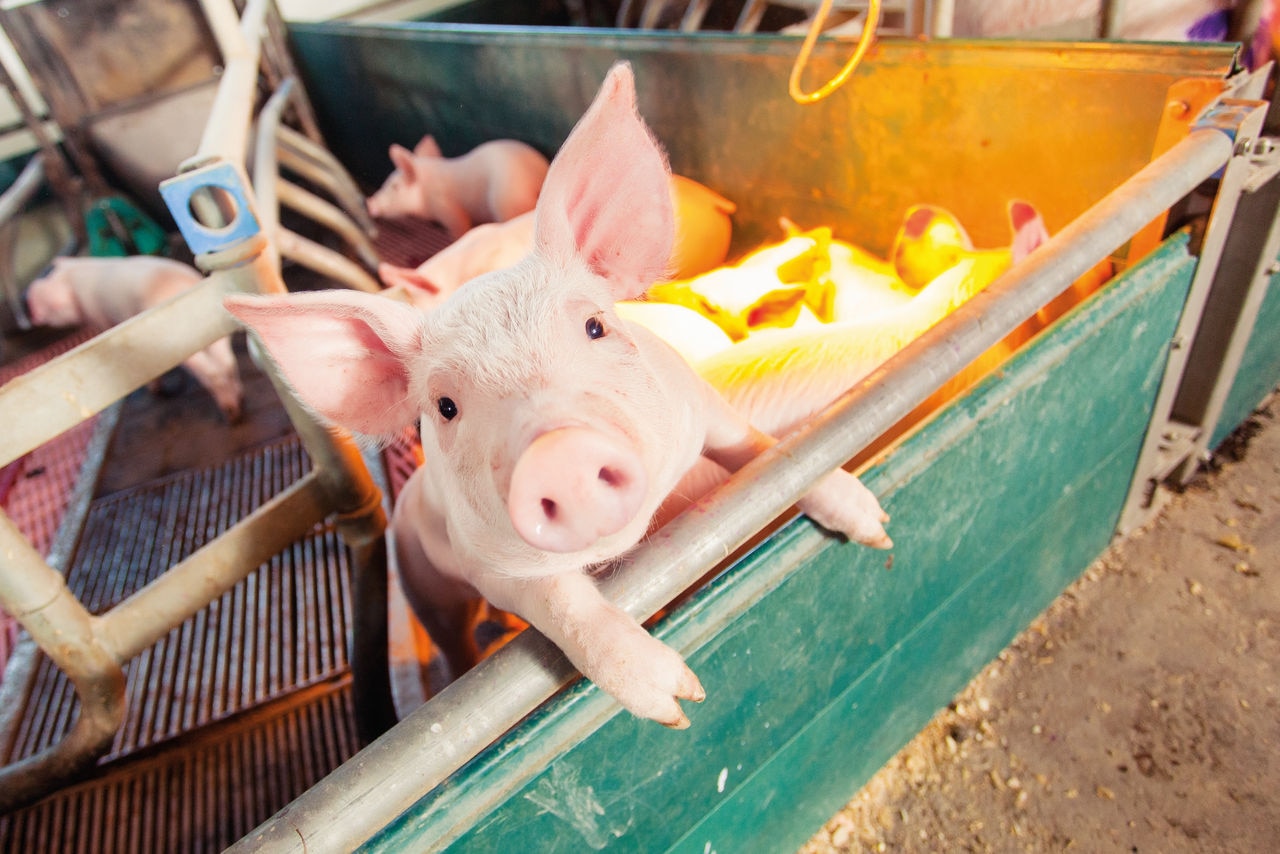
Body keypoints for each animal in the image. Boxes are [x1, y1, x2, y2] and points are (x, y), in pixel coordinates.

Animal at [26, 256, 244, 423]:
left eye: (44, 304)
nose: (32, 315)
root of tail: (181, 286)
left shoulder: (99, 317)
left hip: (178, 343)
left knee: (213, 373)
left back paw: (230, 413)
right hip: (217, 328)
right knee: (228, 362)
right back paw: (239, 399)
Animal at [365, 135, 550, 240]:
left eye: (395, 187)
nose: (369, 202)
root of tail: (539, 178)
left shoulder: (449, 211)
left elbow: (460, 228)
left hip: (505, 203)